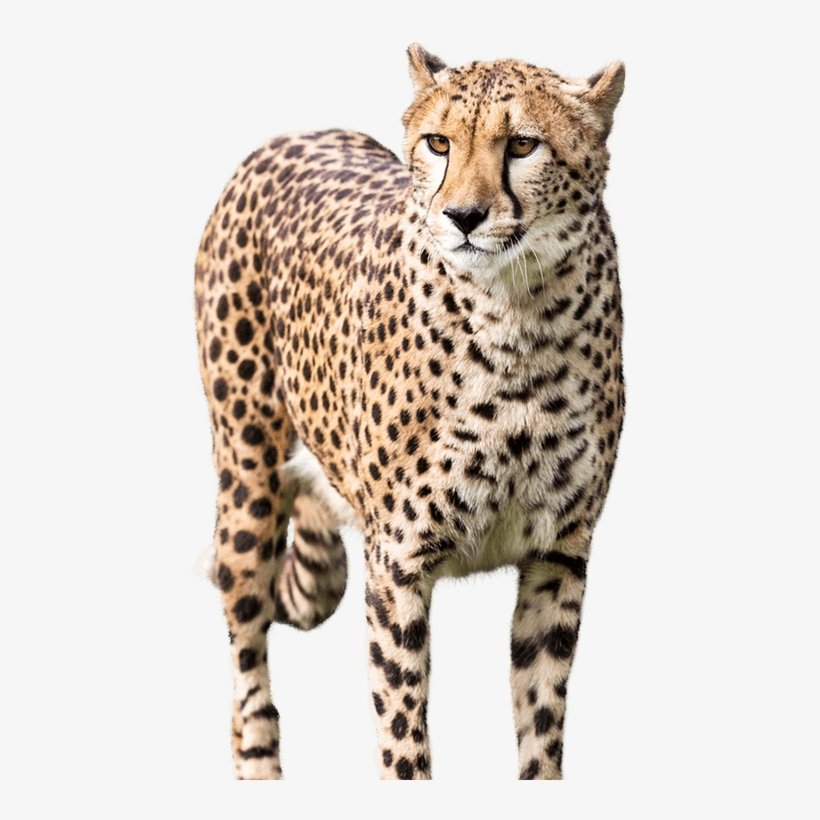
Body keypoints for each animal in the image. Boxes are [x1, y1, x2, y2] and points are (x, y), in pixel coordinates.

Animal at [194, 44, 625, 780]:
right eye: (438, 143)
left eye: (522, 144)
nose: (463, 216)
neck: (520, 314)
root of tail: (291, 135)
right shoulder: (397, 563)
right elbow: (403, 735)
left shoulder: (559, 555)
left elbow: (541, 727)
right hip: (247, 483)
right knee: (247, 661)